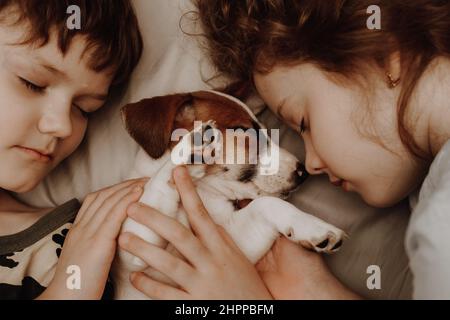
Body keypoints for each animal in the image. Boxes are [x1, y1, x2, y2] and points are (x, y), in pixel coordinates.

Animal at [111, 90, 344, 300]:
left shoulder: (235, 244)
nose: (304, 172)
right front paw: (192, 147)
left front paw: (312, 227)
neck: (202, 192)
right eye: (245, 132)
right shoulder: (134, 245)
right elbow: (160, 184)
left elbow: (265, 204)